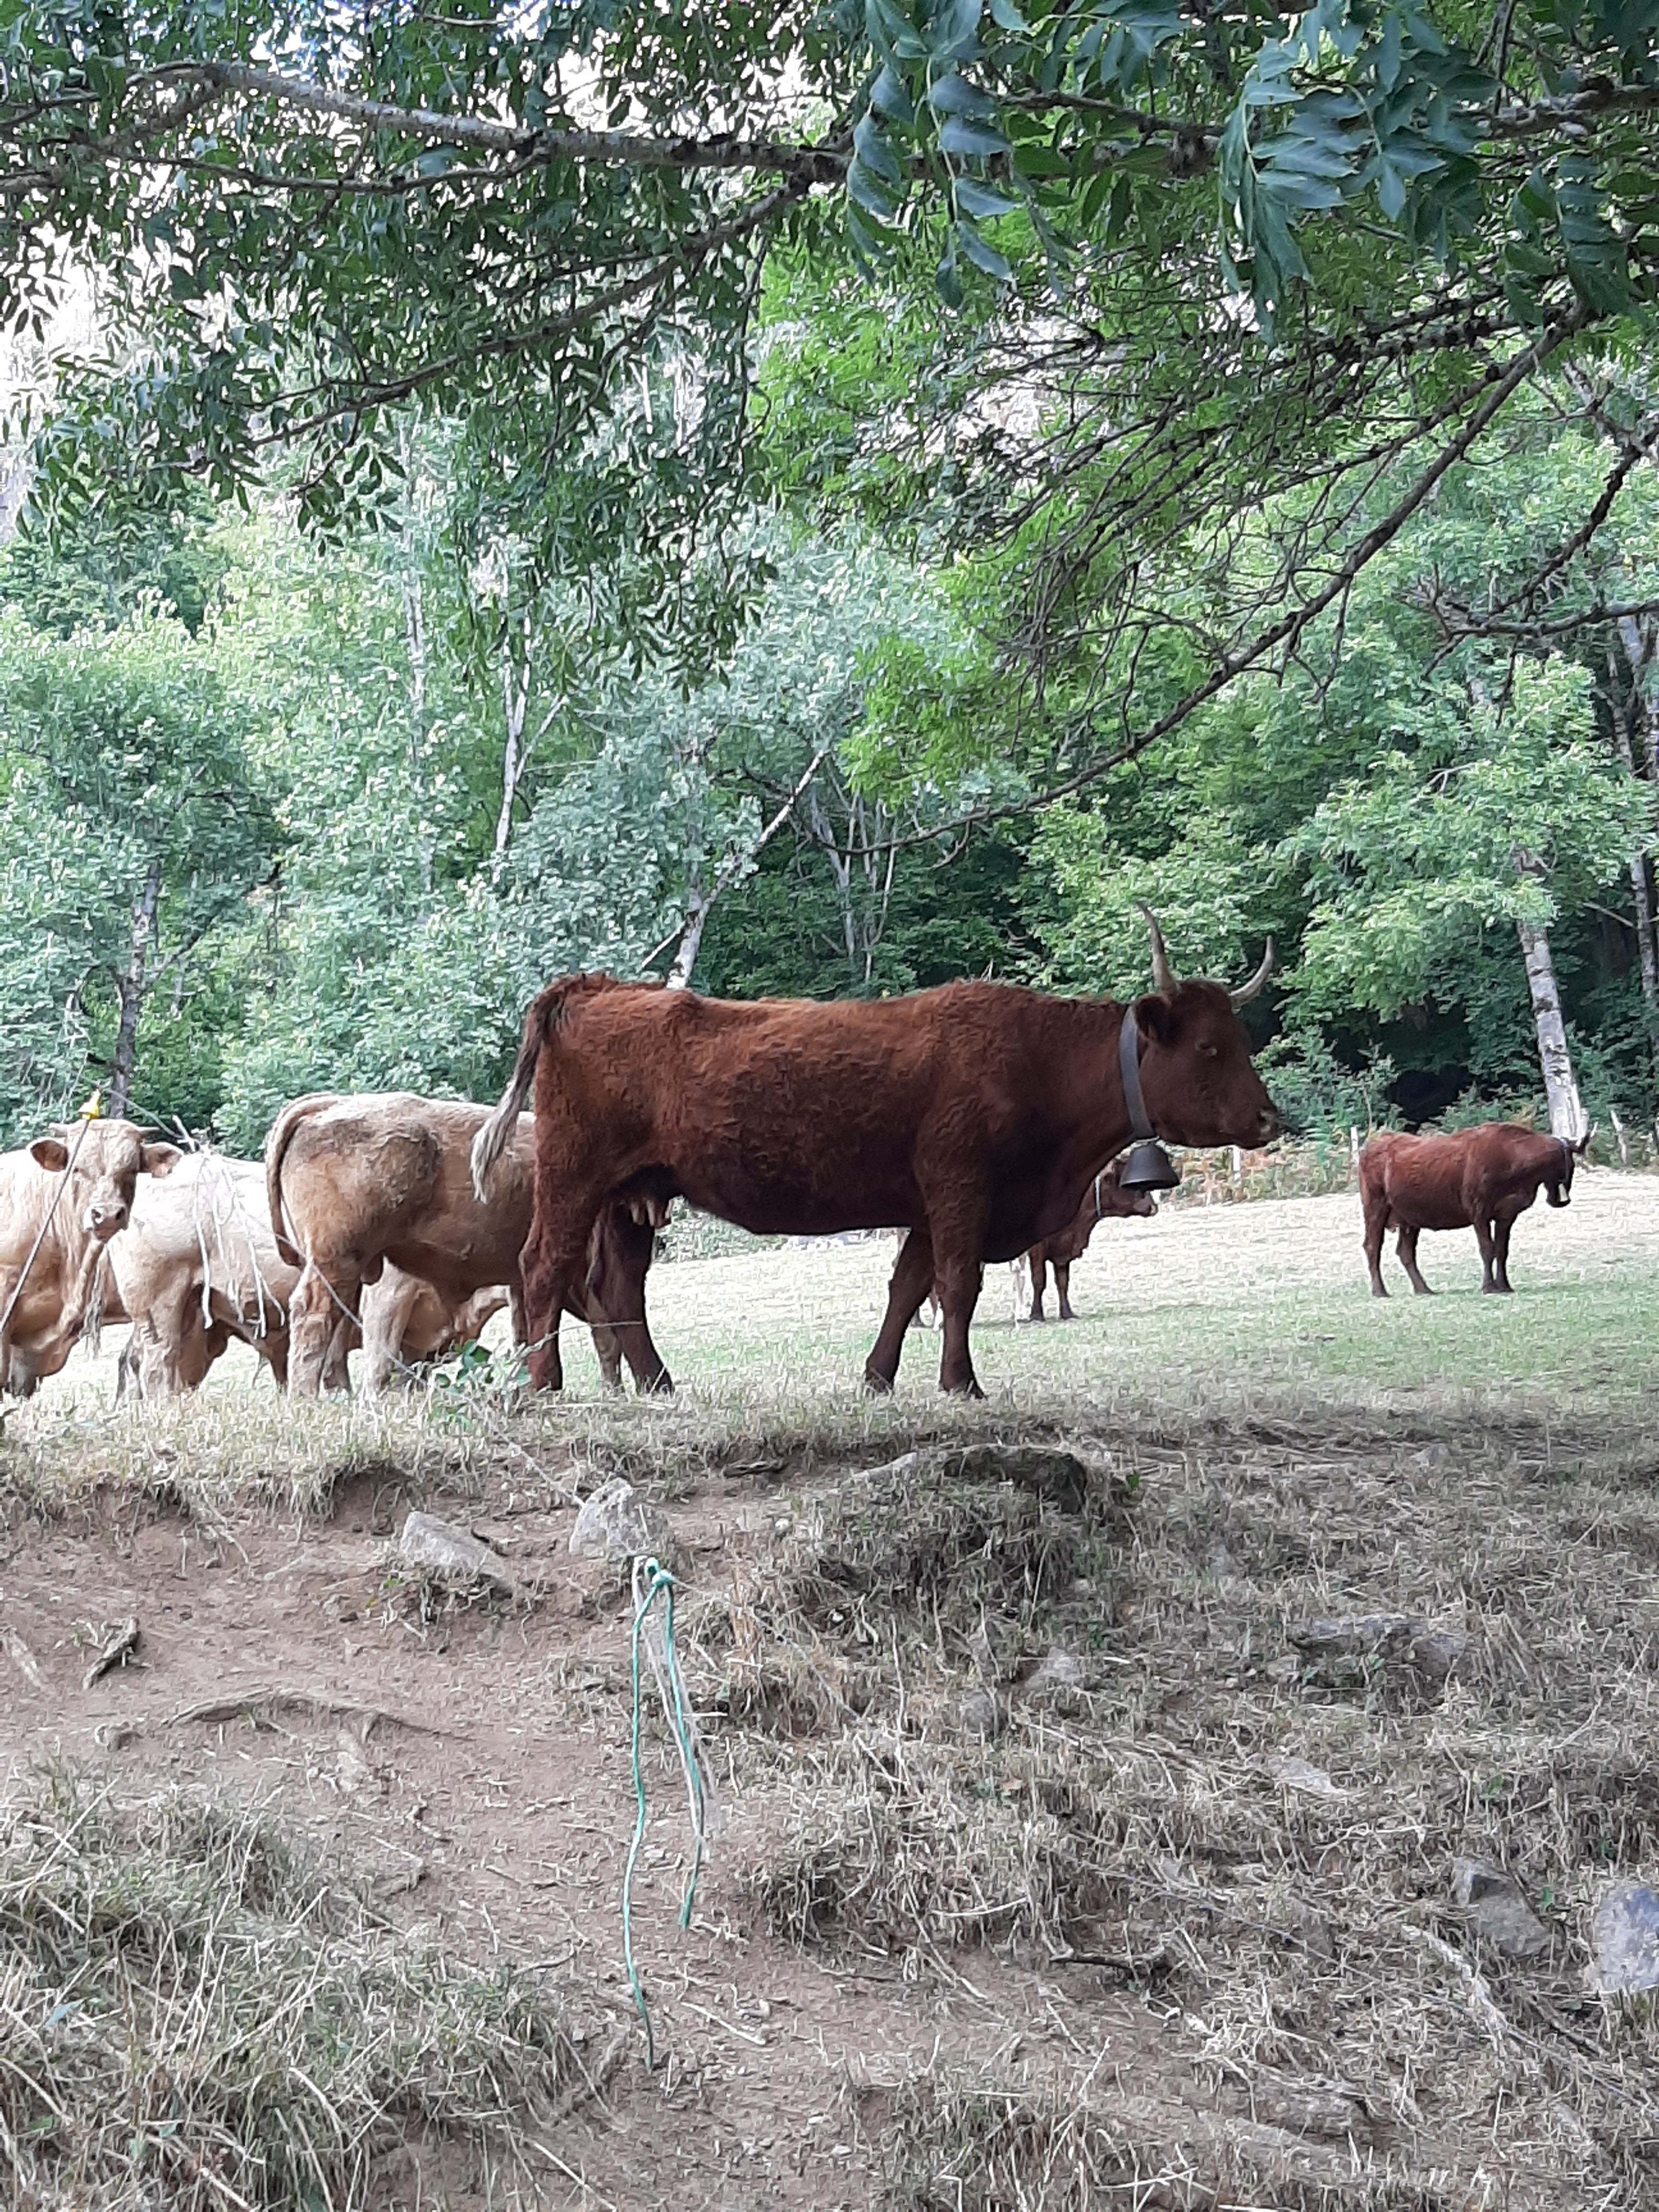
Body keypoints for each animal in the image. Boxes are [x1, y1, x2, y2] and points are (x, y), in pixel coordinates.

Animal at [266, 1092, 670, 1396]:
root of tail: (329, 1106)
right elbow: (606, 1330)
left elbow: (533, 1334)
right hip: (337, 1260)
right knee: (315, 1317)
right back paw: (305, 1399)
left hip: (346, 1269)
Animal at [471, 914, 1280, 1397]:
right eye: (1209, 1048)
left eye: (1239, 1040)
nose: (1270, 1118)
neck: (1034, 1059)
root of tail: (595, 987)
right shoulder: (960, 1188)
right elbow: (956, 1287)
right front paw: (961, 1383)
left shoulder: (931, 1206)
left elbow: (908, 1287)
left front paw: (878, 1378)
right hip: (573, 1179)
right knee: (544, 1268)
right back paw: (541, 1383)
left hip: (631, 1197)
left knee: (619, 1288)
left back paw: (659, 1383)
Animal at [1359, 1123, 1590, 1297]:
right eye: (1572, 1165)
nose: (1561, 1200)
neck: (1515, 1163)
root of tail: (1368, 1148)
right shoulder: (1479, 1210)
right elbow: (1487, 1249)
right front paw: (1489, 1286)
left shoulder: (1506, 1215)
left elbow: (1502, 1250)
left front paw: (1505, 1285)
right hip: (1375, 1206)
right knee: (1372, 1246)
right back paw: (1380, 1291)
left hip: (1409, 1218)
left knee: (1405, 1252)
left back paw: (1423, 1288)